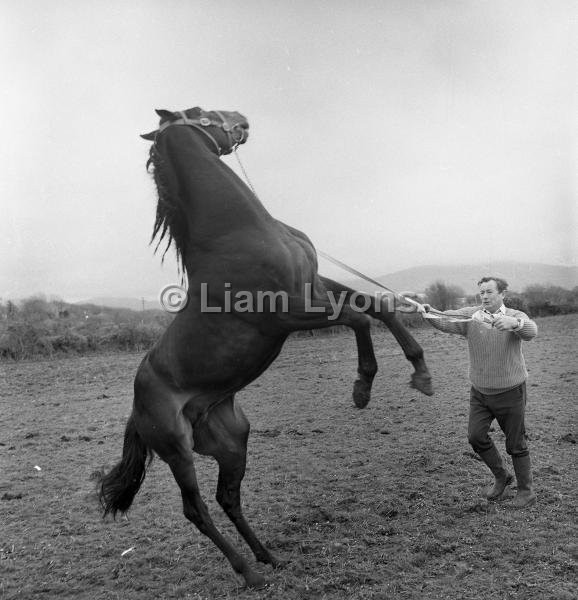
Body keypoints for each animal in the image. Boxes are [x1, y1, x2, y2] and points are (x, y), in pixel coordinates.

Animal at [100, 105, 432, 588]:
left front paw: (421, 374)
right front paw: (362, 388)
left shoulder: (314, 285)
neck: (237, 231)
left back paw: (268, 557)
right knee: (195, 508)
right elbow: (356, 317)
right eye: (200, 113)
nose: (240, 117)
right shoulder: (286, 312)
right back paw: (249, 573)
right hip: (177, 450)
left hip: (233, 440)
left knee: (228, 497)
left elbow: (378, 306)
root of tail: (136, 405)